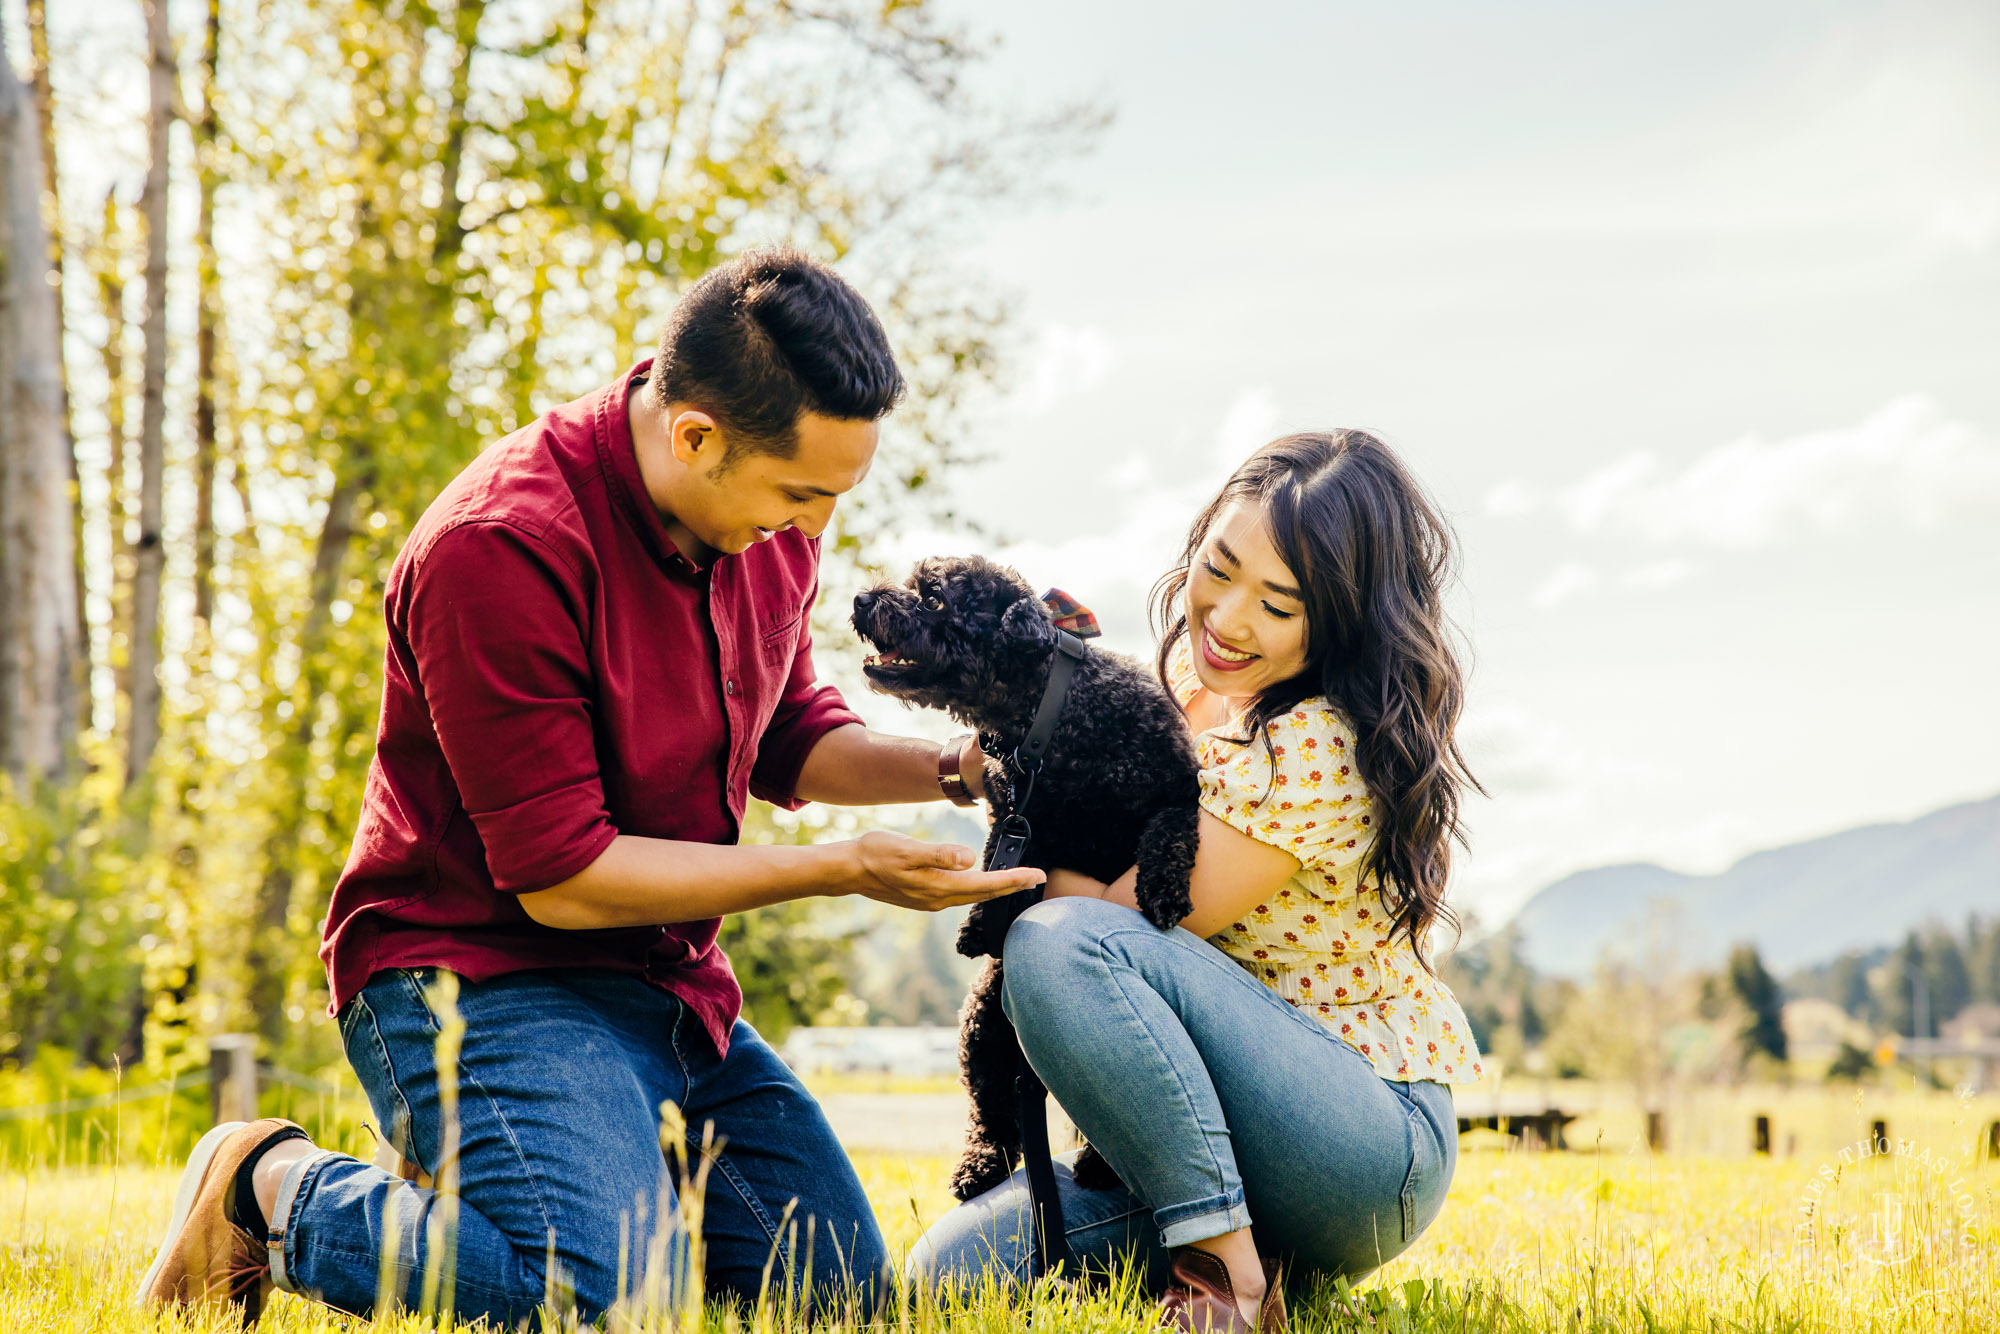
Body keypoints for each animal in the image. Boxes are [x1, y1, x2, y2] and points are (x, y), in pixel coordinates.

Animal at [848, 552, 1192, 1200]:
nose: (860, 600)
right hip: (984, 1030)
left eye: (933, 597)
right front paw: (981, 924)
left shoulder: (1176, 788)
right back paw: (981, 1165)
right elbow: (998, 861)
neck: (1051, 723)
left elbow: (1173, 830)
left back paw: (1099, 1168)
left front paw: (1161, 890)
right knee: (995, 1118)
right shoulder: (1012, 814)